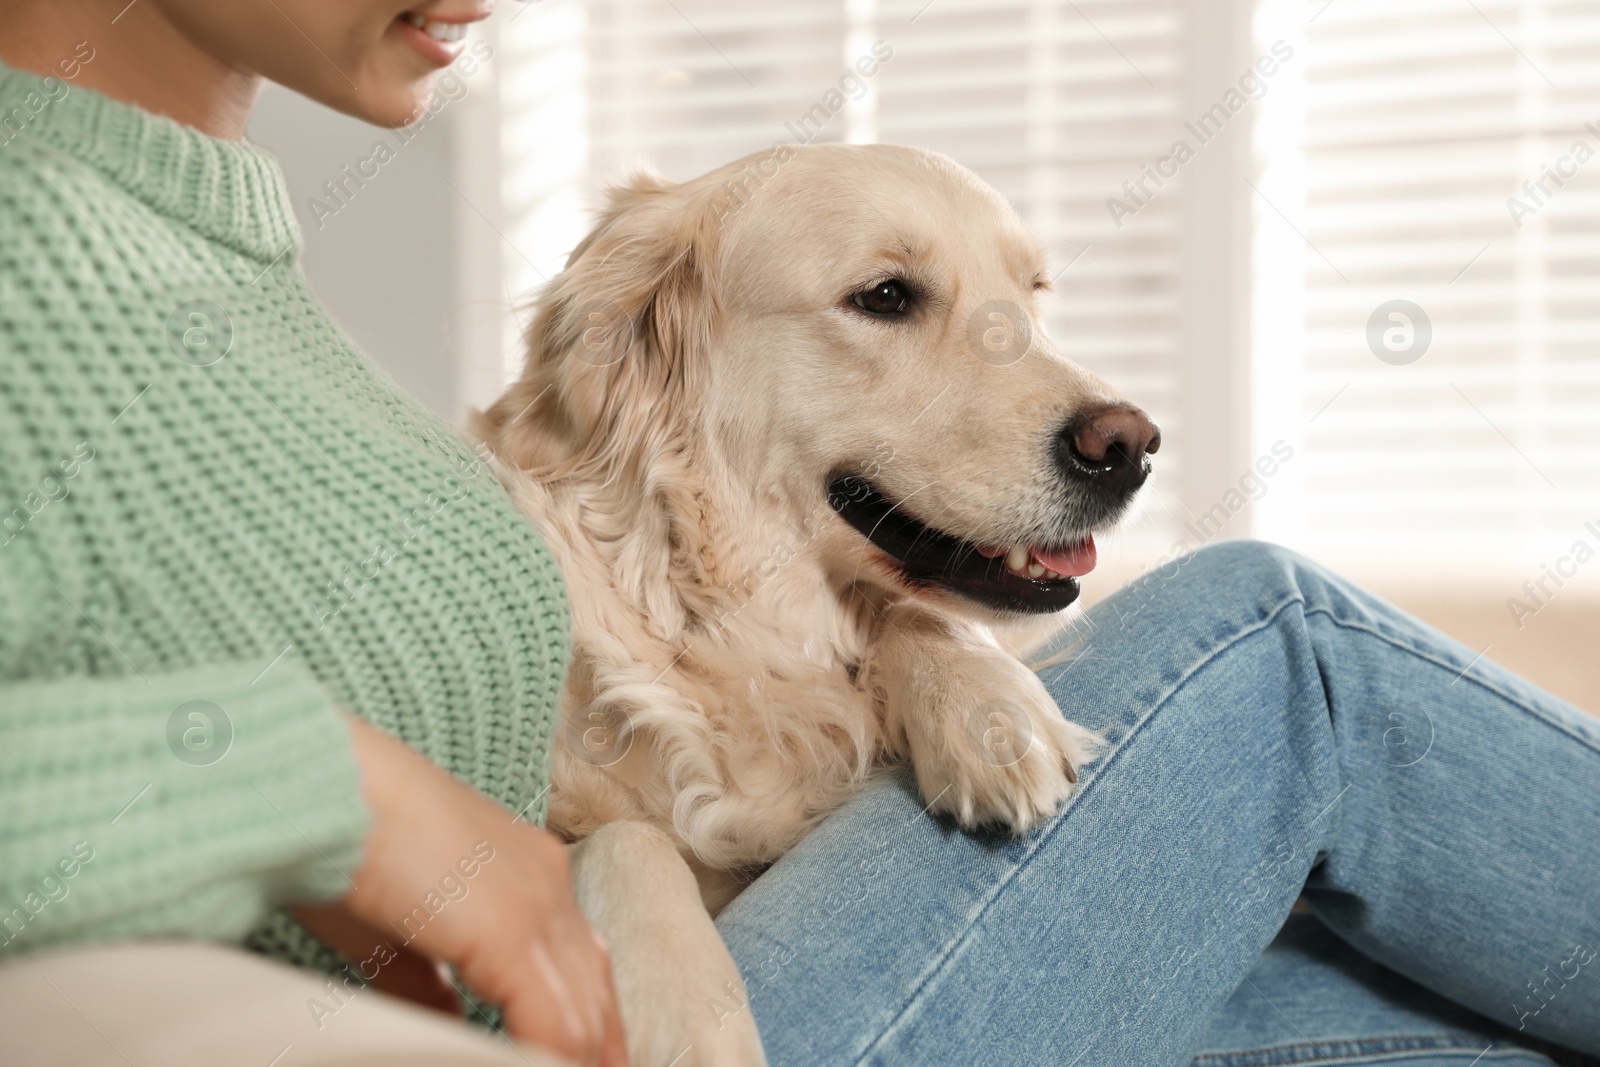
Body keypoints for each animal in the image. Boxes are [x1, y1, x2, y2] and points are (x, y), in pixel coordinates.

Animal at [467, 143, 1158, 1067]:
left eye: (1034, 293)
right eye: (886, 296)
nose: (1128, 448)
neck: (733, 632)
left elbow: (917, 615)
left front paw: (983, 707)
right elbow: (628, 839)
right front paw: (683, 1009)